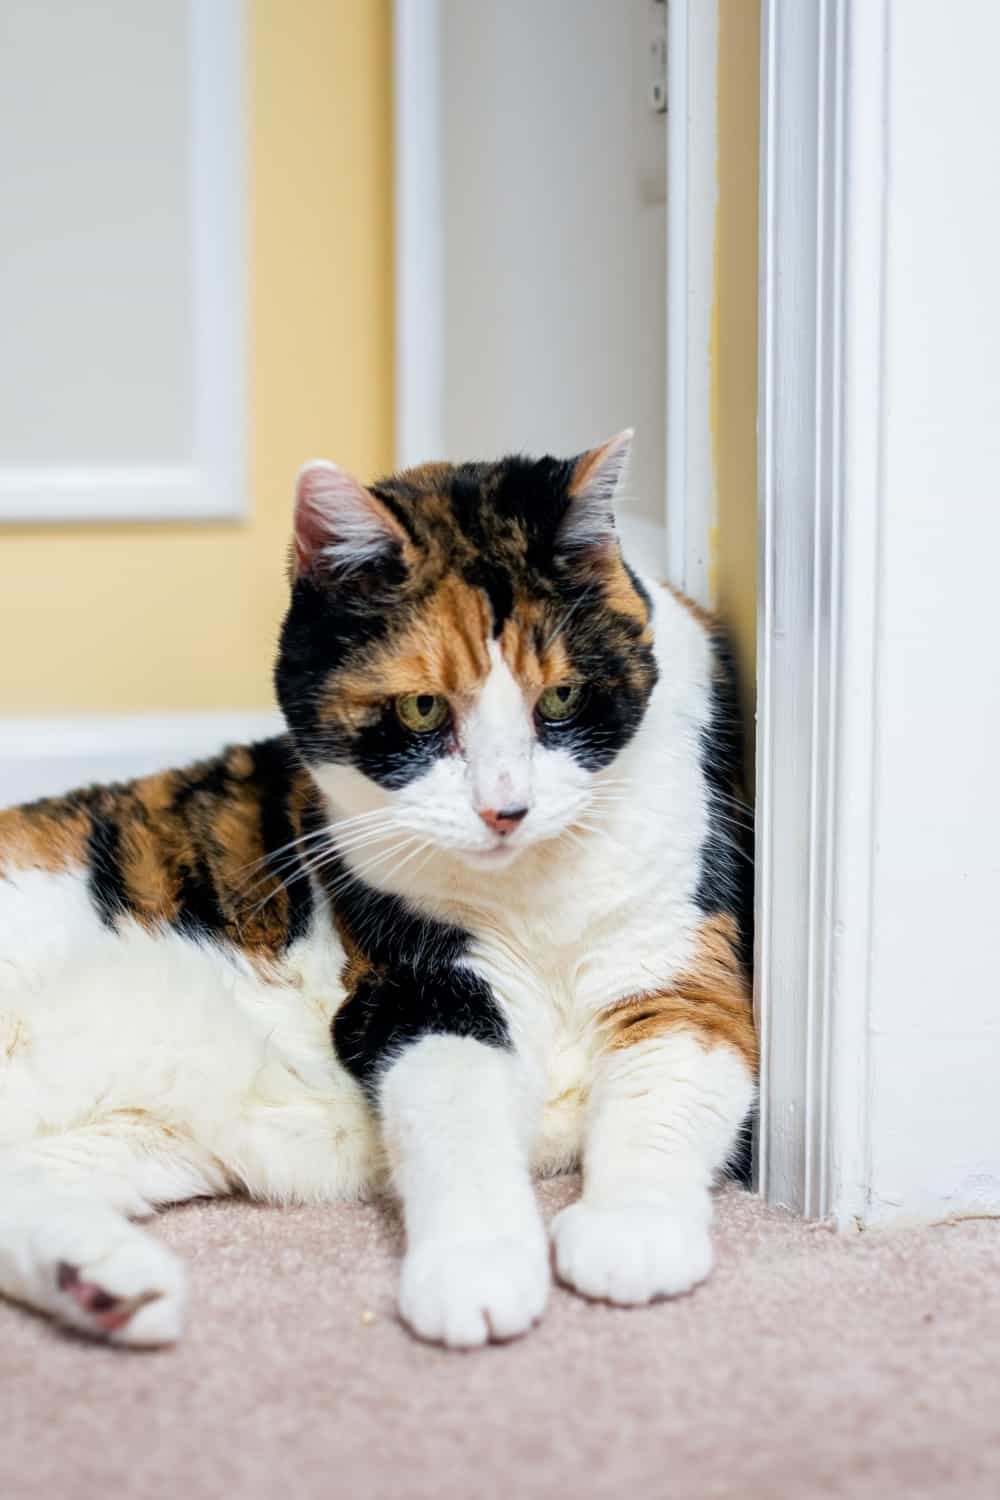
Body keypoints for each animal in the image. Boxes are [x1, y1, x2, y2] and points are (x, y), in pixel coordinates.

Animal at [0, 432, 755, 1350]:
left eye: (562, 696)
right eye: (423, 709)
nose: (506, 810)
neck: (534, 898)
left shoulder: (684, 962)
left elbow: (669, 1085)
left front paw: (631, 1237)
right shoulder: (418, 987)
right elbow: (454, 1118)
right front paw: (477, 1272)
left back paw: (104, 1281)